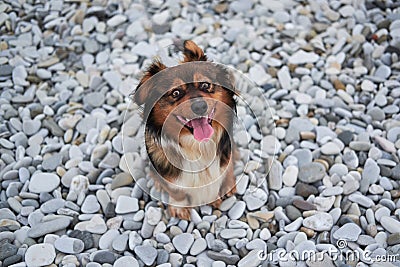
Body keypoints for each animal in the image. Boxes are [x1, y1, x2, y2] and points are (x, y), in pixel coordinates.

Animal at [133, 39, 236, 220]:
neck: (197, 146)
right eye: (175, 93)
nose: (200, 106)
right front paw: (179, 208)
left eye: (205, 85)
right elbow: (176, 191)